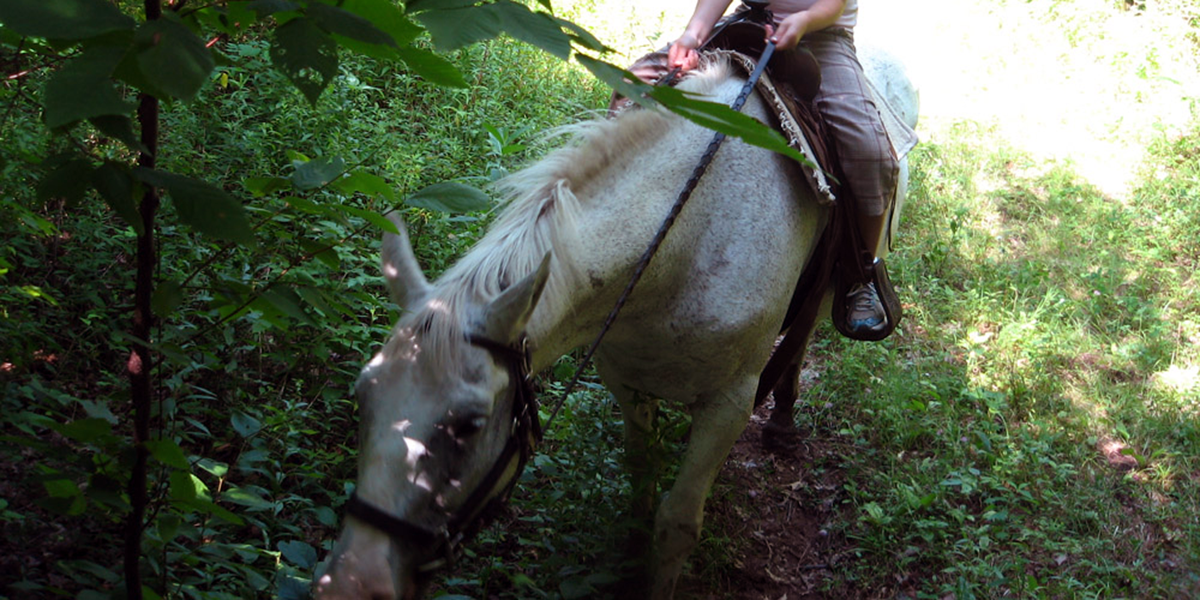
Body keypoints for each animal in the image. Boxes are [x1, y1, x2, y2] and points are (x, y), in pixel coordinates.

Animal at [312, 48, 916, 600]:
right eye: (364, 396)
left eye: (468, 424)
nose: (350, 583)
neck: (685, 241)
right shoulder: (625, 378)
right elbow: (640, 482)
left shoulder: (729, 403)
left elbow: (677, 523)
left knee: (806, 331)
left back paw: (786, 419)